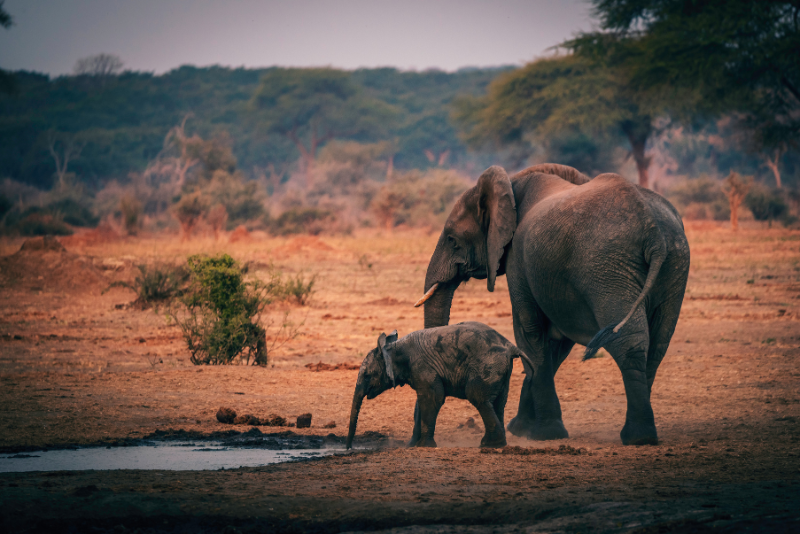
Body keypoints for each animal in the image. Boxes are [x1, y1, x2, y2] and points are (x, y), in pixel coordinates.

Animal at [346, 322, 528, 452]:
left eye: (367, 375)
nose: (348, 449)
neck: (394, 348)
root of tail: (510, 346)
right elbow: (423, 402)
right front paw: (412, 445)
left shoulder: (422, 367)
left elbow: (433, 398)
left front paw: (424, 446)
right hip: (502, 371)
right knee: (498, 402)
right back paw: (497, 444)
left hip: (488, 365)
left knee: (477, 397)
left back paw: (488, 445)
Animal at [418, 165, 688, 446]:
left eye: (452, 240)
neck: (512, 185)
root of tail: (653, 231)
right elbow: (554, 344)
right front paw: (521, 429)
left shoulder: (518, 261)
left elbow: (530, 332)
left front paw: (543, 434)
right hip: (673, 263)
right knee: (657, 343)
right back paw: (644, 434)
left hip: (609, 267)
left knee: (629, 342)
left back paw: (637, 437)